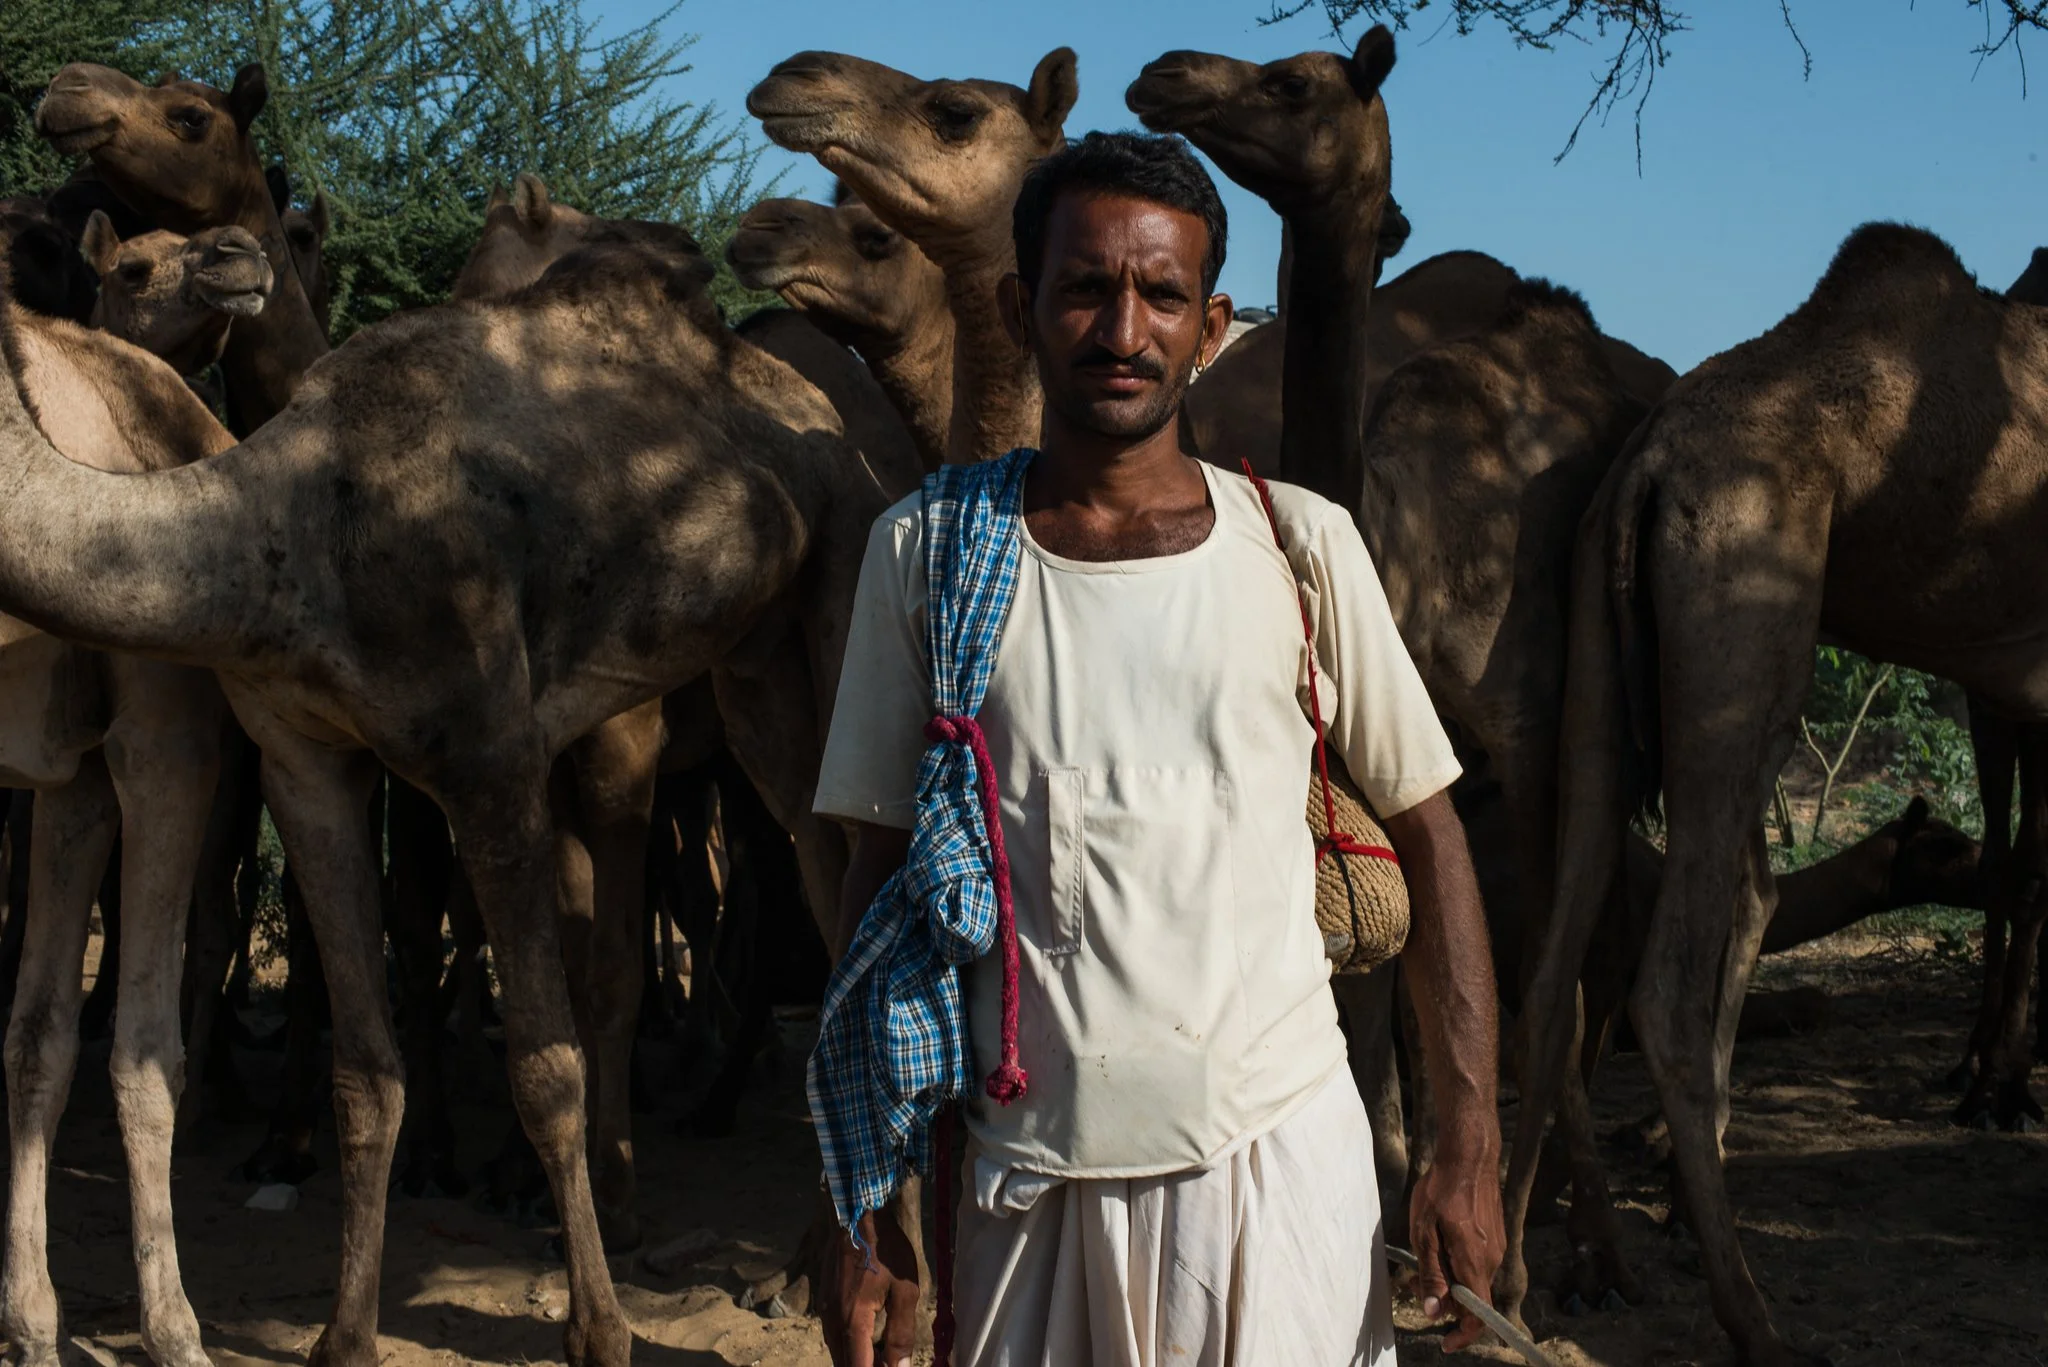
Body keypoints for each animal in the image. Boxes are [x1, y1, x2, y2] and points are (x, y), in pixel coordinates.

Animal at [1518, 221, 2048, 1366]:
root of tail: (1649, 464)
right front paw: (1996, 1091)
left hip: (1596, 635)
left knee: (1559, 951)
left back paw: (1504, 1276)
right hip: (1749, 612)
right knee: (1669, 977)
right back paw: (1752, 1318)